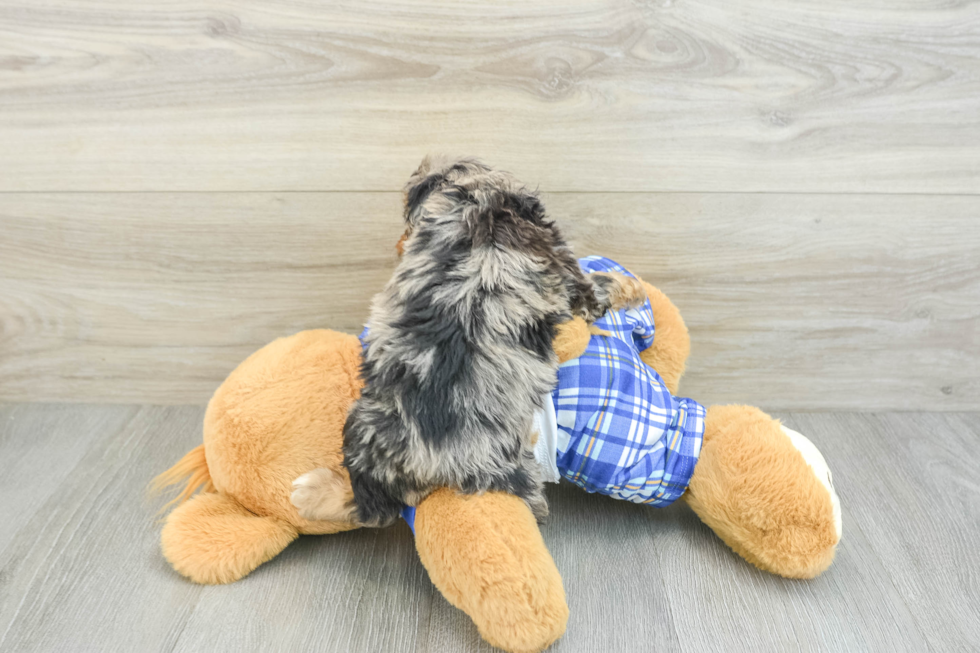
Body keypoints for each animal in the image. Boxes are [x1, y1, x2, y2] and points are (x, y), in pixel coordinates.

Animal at [290, 157, 644, 524]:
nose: (399, 245)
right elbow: (601, 285)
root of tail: (437, 460)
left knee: (370, 503)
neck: (483, 199)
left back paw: (314, 492)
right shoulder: (568, 272)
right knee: (376, 509)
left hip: (365, 423)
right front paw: (634, 288)